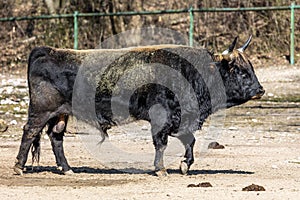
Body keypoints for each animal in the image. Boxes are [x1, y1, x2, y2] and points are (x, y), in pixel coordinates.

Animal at [13, 35, 264, 175]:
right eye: (240, 70)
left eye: (250, 68)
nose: (260, 90)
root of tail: (48, 51)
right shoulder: (162, 119)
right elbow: (161, 144)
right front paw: (161, 169)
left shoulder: (181, 119)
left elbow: (190, 141)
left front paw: (185, 165)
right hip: (41, 110)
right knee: (29, 132)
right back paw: (19, 167)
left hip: (61, 114)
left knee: (56, 137)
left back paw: (67, 169)